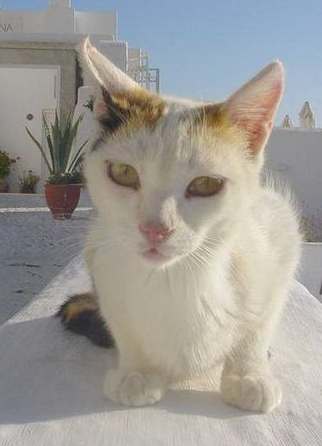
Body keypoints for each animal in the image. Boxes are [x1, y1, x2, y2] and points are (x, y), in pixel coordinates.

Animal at [57, 37, 300, 412]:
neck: (174, 279)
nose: (155, 229)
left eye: (206, 184)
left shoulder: (280, 234)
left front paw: (249, 375)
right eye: (123, 173)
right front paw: (137, 372)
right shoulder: (100, 254)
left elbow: (259, 322)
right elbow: (121, 323)